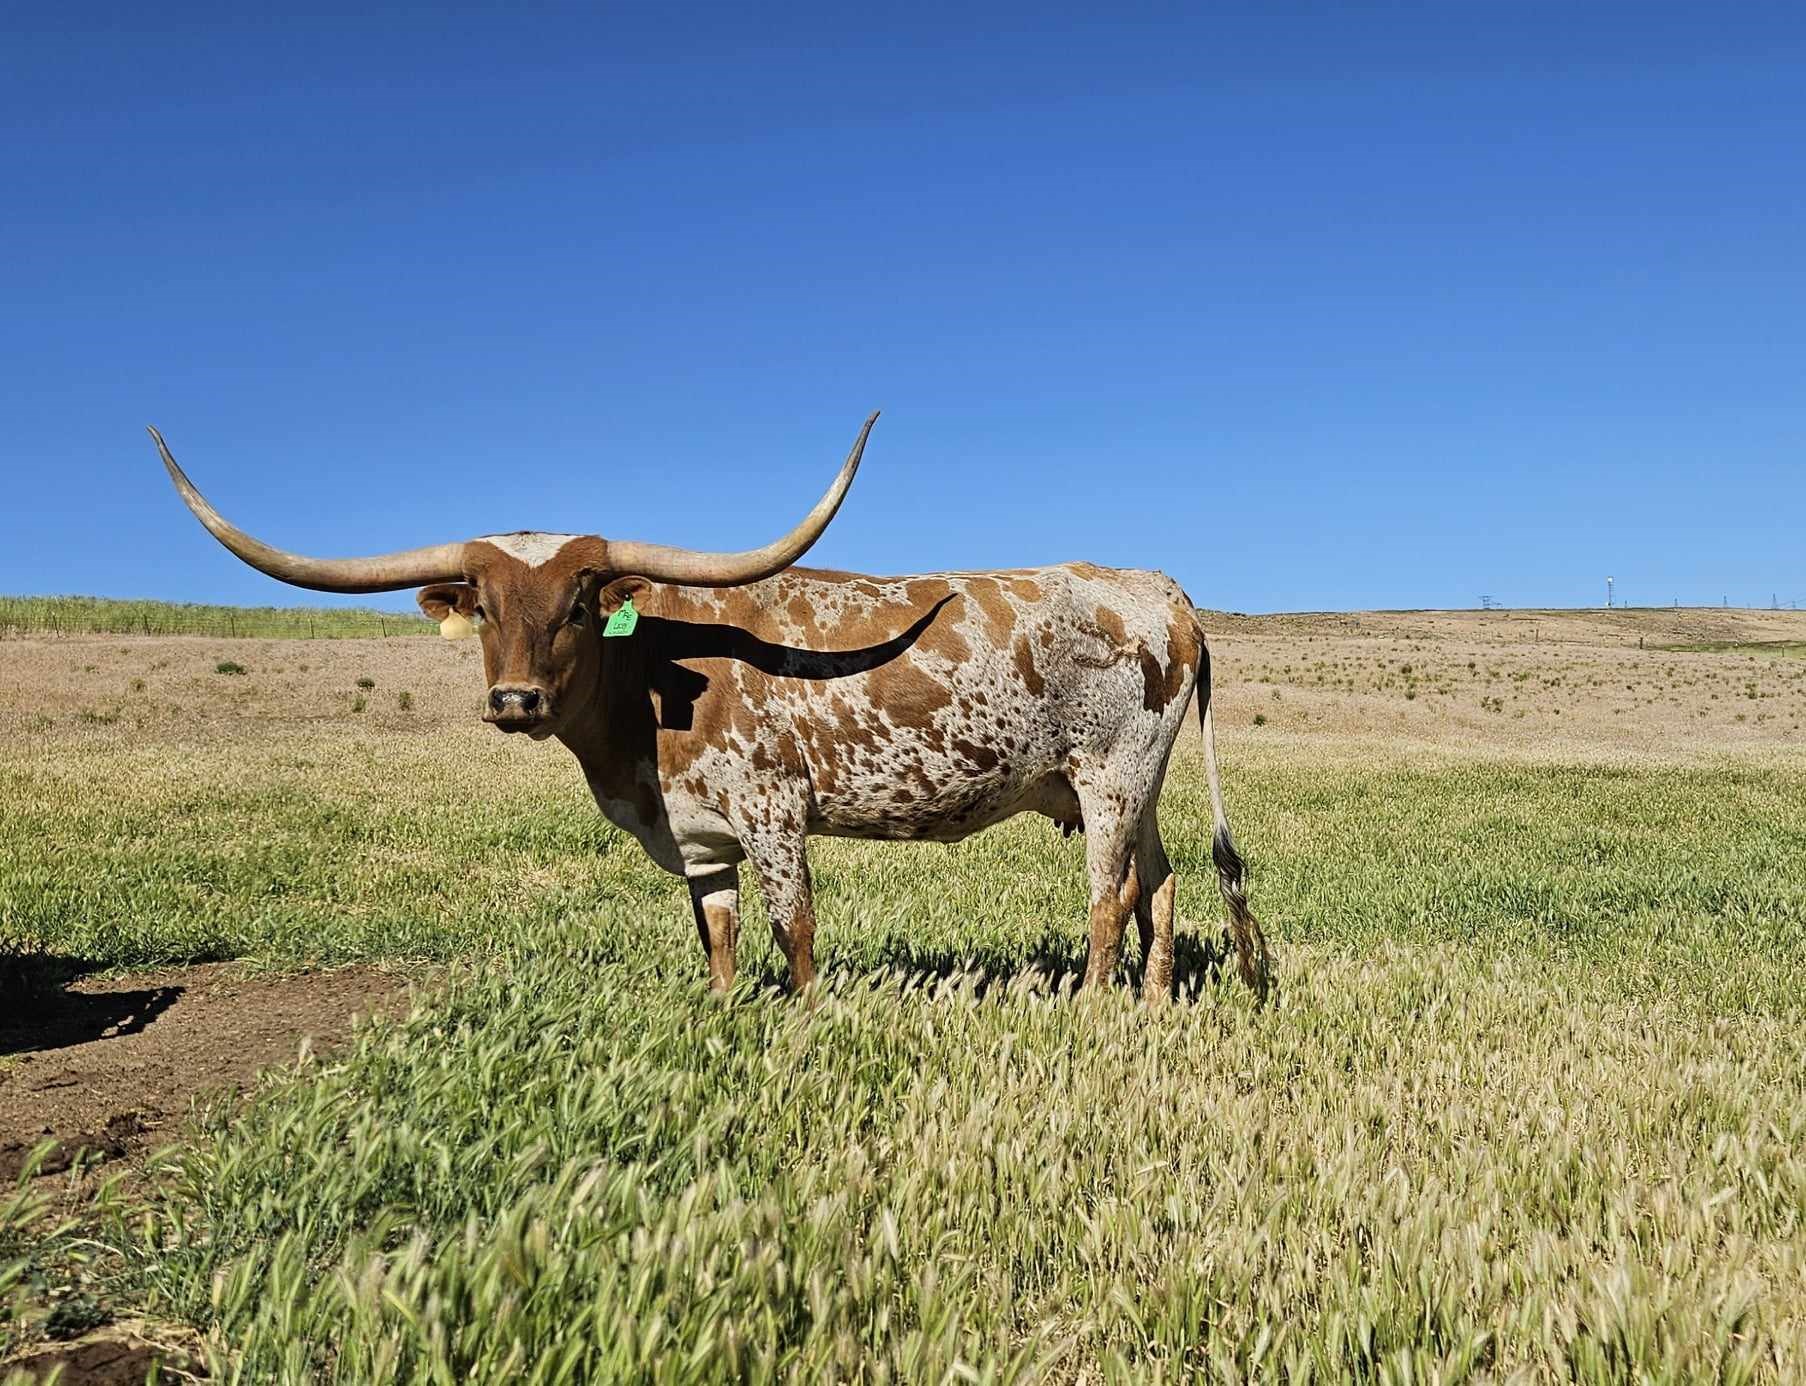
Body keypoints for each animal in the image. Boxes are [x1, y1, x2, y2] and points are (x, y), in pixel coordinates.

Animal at [149, 416, 1268, 1003]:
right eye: (487, 609)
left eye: (578, 603)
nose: (514, 698)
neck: (648, 683)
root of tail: (1161, 589)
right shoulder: (700, 840)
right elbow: (720, 936)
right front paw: (728, 1015)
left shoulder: (775, 813)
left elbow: (795, 928)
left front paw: (807, 1019)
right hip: (1134, 783)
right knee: (1163, 883)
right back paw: (1154, 1004)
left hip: (1110, 778)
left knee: (1108, 897)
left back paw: (1094, 1008)